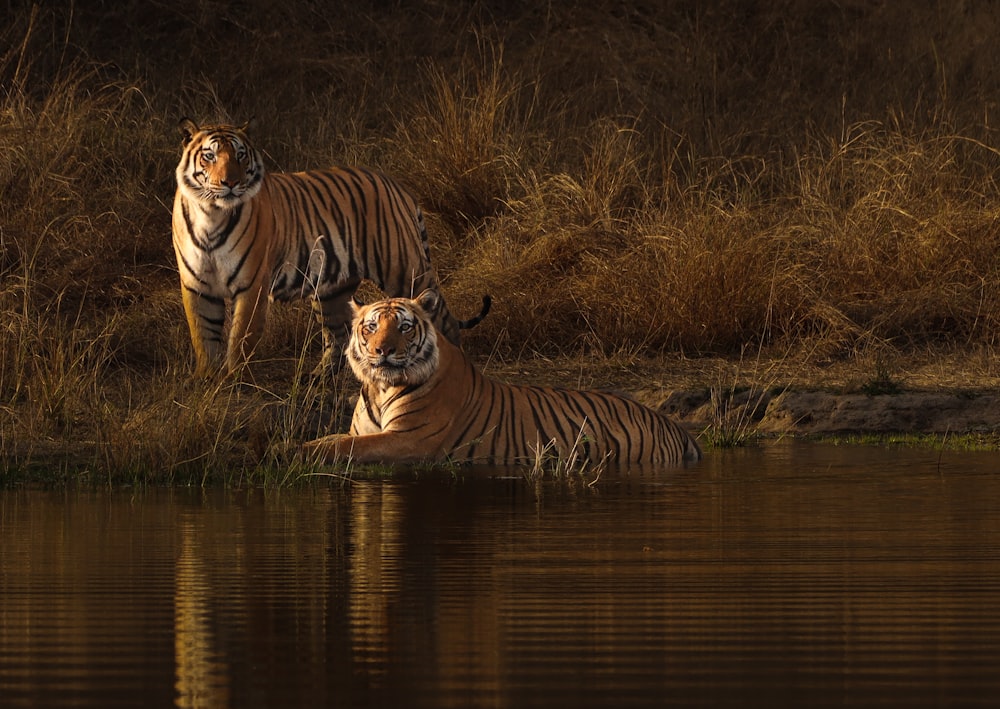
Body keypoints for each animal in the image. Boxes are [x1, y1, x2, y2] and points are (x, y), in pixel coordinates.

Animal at [171, 117, 488, 376]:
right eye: (209, 156)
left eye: (240, 155)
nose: (230, 183)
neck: (211, 215)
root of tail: (397, 186)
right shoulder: (196, 285)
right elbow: (203, 335)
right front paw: (207, 380)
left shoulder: (251, 286)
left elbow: (240, 338)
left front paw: (233, 379)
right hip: (331, 289)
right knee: (339, 335)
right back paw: (319, 377)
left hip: (405, 271)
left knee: (442, 321)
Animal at [304, 290, 704, 468]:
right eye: (371, 326)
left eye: (403, 327)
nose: (382, 351)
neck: (380, 386)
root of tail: (672, 424)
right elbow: (333, 440)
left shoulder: (409, 441)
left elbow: (342, 448)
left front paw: (292, 451)